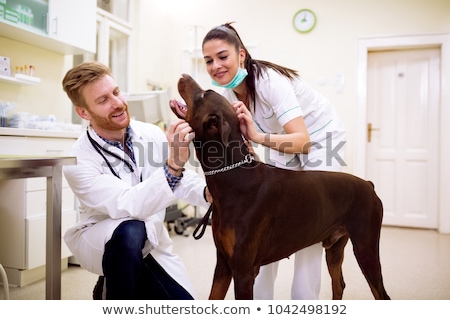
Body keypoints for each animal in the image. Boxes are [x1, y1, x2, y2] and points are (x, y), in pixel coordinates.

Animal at [171, 73, 390, 300]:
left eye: (205, 94)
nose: (184, 75)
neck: (234, 177)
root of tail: (368, 185)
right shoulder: (223, 264)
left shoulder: (243, 271)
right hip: (336, 247)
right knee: (339, 284)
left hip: (366, 247)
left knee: (381, 293)